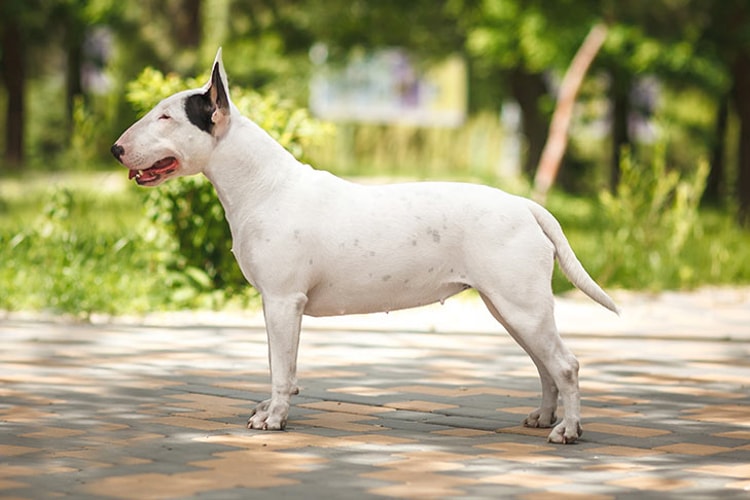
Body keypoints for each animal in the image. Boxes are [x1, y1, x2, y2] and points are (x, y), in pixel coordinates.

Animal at [111, 48, 616, 444]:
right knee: (545, 366)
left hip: (521, 305)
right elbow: (280, 364)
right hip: (509, 308)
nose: (115, 149)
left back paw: (567, 430)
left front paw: (273, 419)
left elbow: (281, 370)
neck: (263, 186)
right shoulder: (275, 304)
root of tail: (526, 205)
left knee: (565, 365)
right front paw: (267, 410)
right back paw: (544, 417)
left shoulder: (283, 301)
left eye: (166, 116)